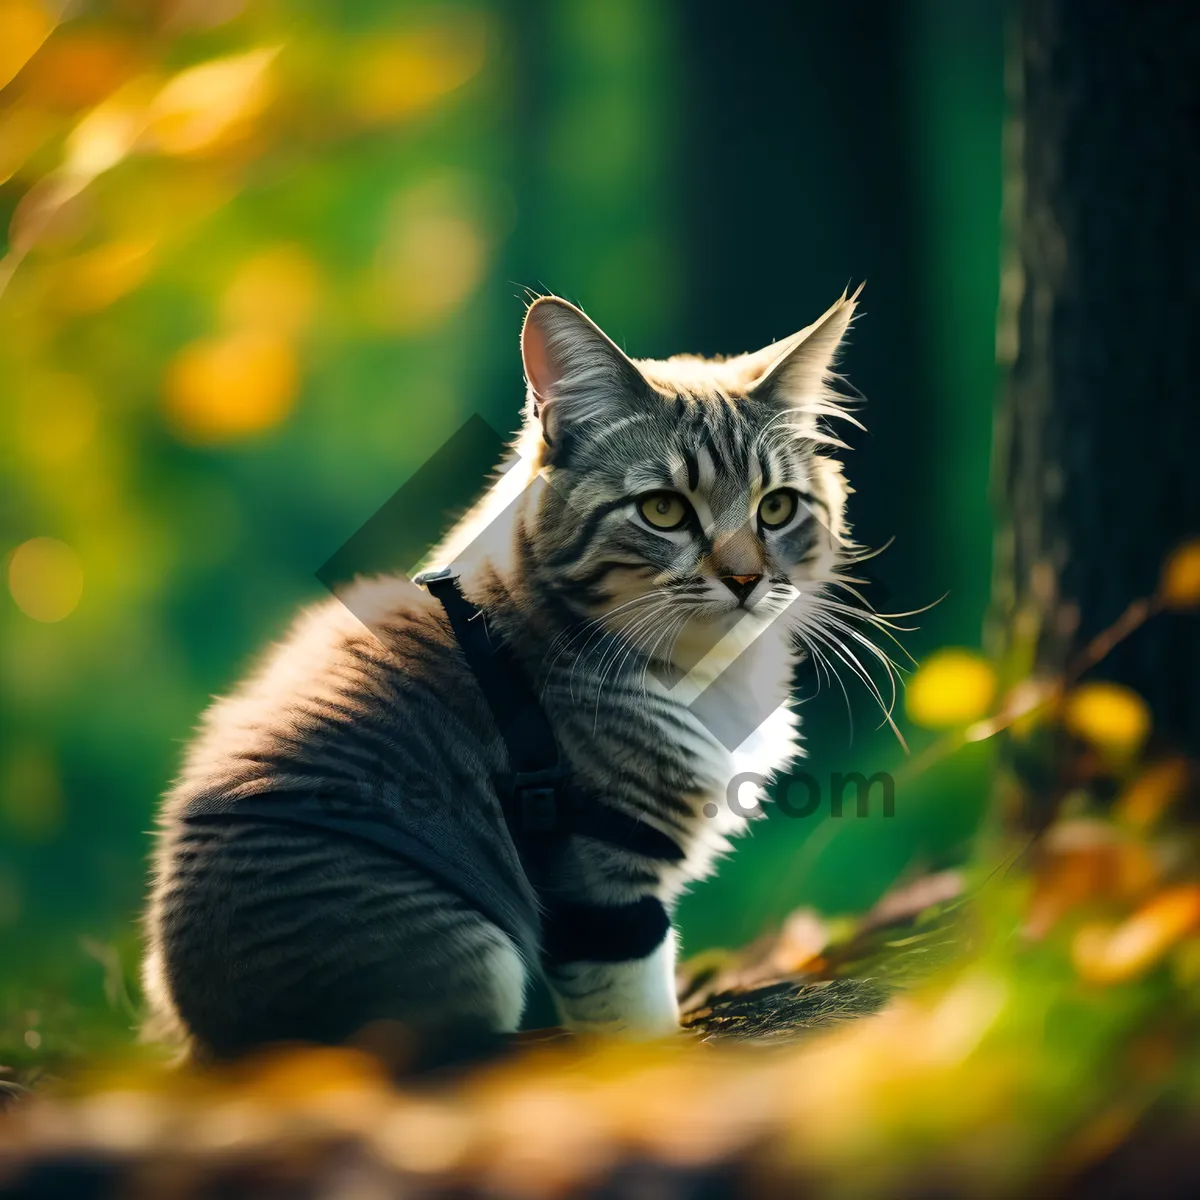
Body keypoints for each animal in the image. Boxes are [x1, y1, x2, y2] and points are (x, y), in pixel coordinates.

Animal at [140, 290, 878, 1060]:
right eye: (664, 510)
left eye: (777, 506)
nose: (744, 580)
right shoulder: (601, 874)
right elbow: (635, 1020)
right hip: (471, 959)